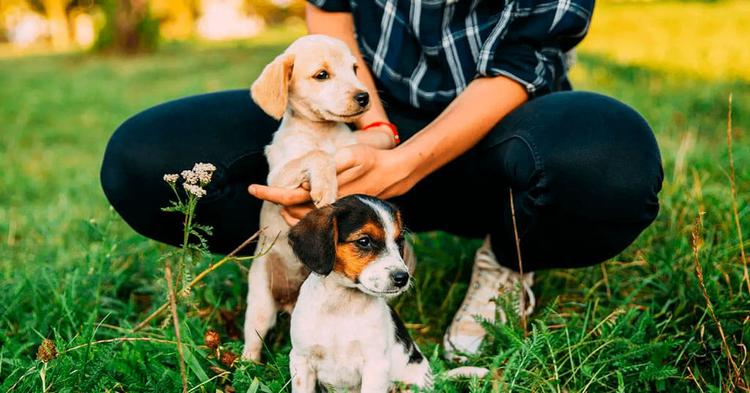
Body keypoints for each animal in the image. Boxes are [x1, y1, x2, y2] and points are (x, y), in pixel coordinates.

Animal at [242, 35, 372, 360]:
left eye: (354, 69)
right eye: (321, 75)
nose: (364, 96)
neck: (323, 132)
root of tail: (289, 300)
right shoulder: (278, 178)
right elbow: (316, 156)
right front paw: (324, 185)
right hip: (260, 306)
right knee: (253, 339)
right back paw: (245, 365)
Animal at [286, 195, 432, 392]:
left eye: (399, 241)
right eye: (364, 241)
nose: (403, 277)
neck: (341, 305)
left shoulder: (375, 364)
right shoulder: (301, 360)